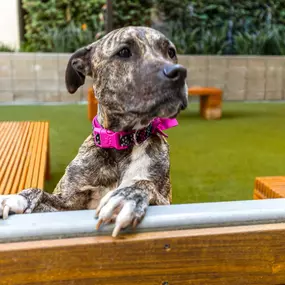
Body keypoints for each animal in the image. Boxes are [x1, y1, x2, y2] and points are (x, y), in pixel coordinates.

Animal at [0, 26, 187, 236]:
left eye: (170, 52)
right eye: (124, 52)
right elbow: (40, 192)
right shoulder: (68, 202)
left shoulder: (166, 201)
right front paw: (17, 198)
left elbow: (143, 183)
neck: (121, 144)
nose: (179, 72)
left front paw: (128, 195)